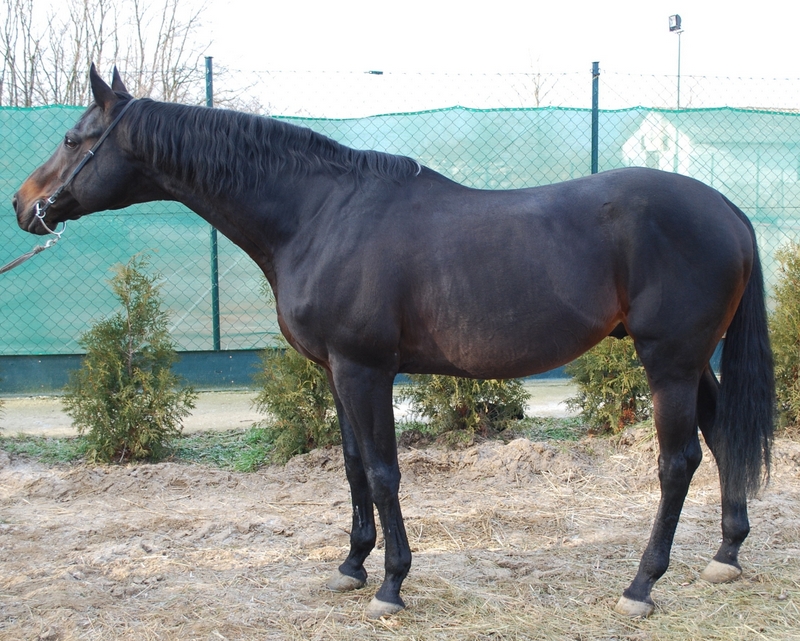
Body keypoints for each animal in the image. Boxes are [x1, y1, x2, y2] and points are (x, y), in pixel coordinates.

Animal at [13, 66, 774, 619]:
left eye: (76, 138)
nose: (24, 204)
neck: (320, 214)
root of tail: (728, 210)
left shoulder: (364, 368)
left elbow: (382, 471)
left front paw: (391, 584)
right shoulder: (335, 371)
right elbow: (353, 465)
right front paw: (352, 565)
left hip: (669, 362)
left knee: (678, 461)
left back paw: (641, 585)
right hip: (691, 362)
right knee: (719, 435)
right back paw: (726, 554)